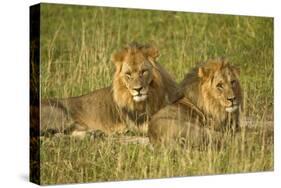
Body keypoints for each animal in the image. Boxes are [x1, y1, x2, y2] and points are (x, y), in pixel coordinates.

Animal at [41, 42, 182, 137]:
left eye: (143, 71)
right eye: (128, 74)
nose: (138, 89)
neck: (152, 96)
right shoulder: (139, 123)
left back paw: (94, 134)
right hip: (61, 115)